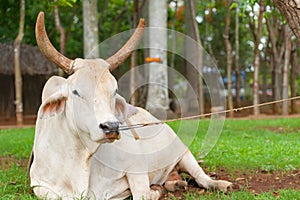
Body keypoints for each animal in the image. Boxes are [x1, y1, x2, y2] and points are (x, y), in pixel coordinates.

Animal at [29, 12, 232, 200]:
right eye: (75, 91)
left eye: (115, 90)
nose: (111, 126)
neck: (81, 159)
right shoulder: (39, 185)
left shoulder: (136, 166)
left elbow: (143, 193)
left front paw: (155, 190)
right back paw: (175, 183)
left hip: (183, 151)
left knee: (202, 177)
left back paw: (221, 184)